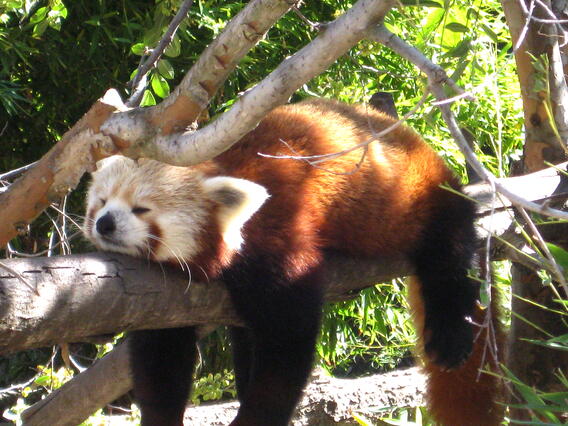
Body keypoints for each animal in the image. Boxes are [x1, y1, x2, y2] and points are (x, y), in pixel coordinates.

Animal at [83, 99, 502, 426]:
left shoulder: (278, 234)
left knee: (450, 257)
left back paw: (451, 333)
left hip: (422, 198)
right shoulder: (166, 300)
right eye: (101, 202)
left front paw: (255, 418)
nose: (105, 224)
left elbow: (288, 342)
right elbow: (161, 358)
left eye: (141, 209)